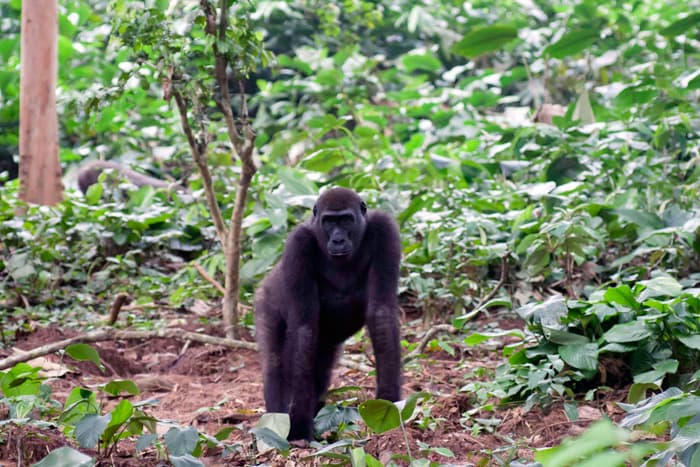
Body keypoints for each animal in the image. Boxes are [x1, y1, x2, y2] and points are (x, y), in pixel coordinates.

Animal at [254, 187, 402, 441]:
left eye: (346, 220)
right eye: (329, 222)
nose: (338, 239)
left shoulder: (385, 230)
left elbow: (381, 313)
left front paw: (388, 401)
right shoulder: (298, 244)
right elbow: (303, 330)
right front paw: (299, 426)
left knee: (320, 367)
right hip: (266, 299)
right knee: (275, 362)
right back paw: (276, 421)